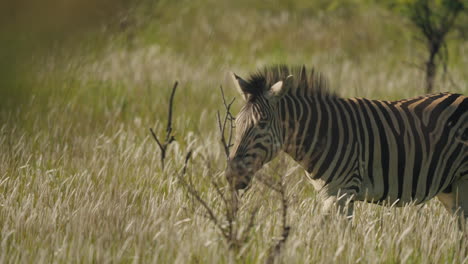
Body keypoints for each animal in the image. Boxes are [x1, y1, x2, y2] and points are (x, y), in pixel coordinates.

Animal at [225, 65, 466, 221]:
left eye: (262, 124)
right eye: (237, 122)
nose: (232, 175)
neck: (323, 134)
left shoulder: (343, 194)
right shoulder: (328, 195)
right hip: (450, 189)